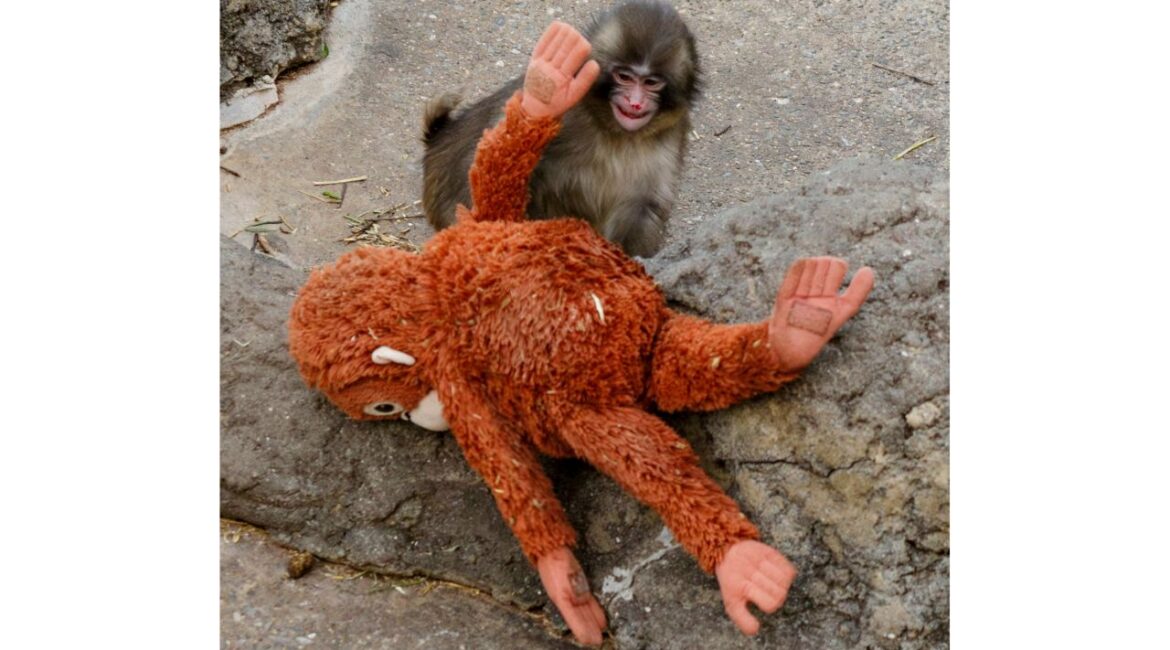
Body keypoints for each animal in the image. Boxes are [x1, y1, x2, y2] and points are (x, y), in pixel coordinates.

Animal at [422, 0, 700, 258]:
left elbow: (645, 206)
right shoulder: (570, 115)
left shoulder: (673, 134)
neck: (614, 131)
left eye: (651, 82)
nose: (635, 103)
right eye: (624, 77)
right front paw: (545, 94)